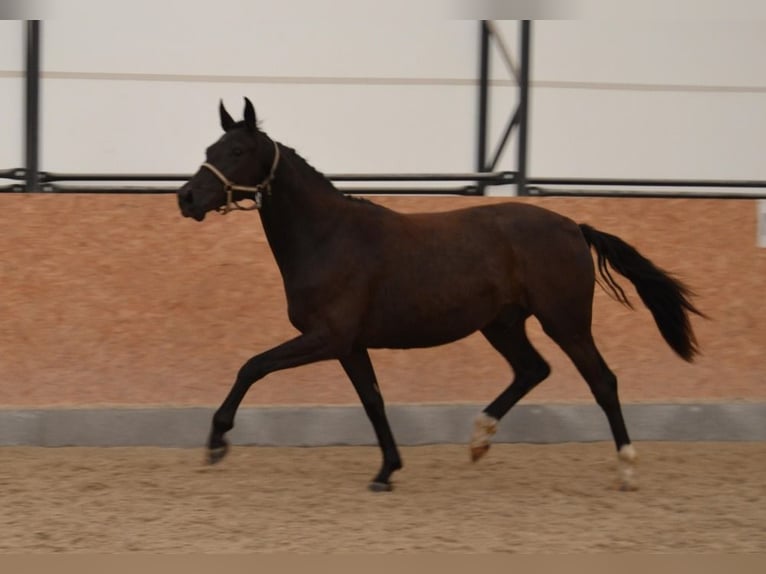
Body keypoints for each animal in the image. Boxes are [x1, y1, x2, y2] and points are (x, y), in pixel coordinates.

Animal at [177, 97, 704, 492]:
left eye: (237, 150)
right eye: (210, 146)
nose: (186, 198)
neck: (329, 238)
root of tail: (574, 226)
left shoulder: (328, 337)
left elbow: (253, 366)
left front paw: (216, 442)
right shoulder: (349, 345)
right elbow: (372, 401)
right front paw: (387, 472)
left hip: (565, 321)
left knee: (602, 382)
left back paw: (627, 469)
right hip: (502, 323)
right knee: (533, 370)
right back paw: (478, 440)